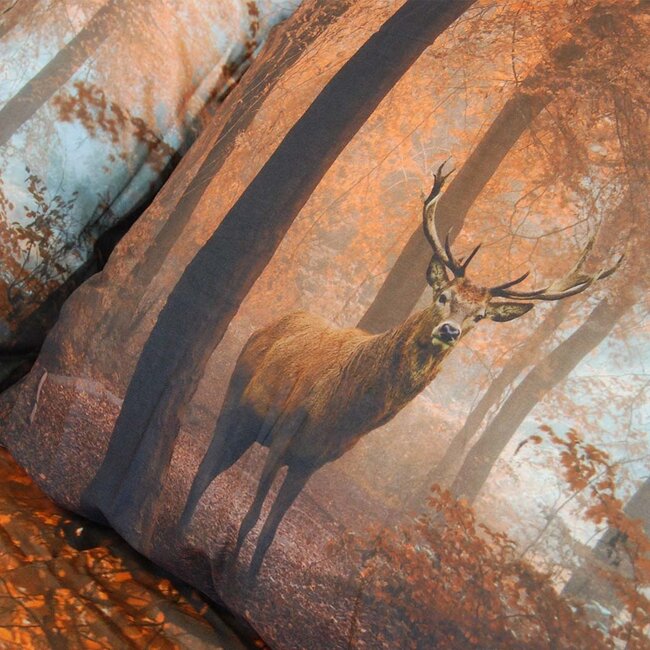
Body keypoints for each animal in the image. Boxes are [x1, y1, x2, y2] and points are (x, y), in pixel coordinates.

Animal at [179, 161, 621, 579]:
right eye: (443, 295)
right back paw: (181, 527)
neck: (338, 413)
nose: (450, 330)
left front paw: (250, 580)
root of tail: (269, 325)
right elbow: (251, 514)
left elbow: (271, 530)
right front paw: (228, 568)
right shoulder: (285, 431)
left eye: (479, 316)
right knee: (206, 466)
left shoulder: (313, 462)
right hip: (237, 399)